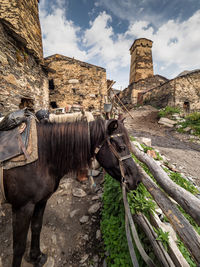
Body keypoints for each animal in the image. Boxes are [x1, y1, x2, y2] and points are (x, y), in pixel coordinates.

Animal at [3, 120, 141, 267]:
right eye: (121, 147)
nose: (137, 179)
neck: (41, 158)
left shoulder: (41, 201)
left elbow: (36, 227)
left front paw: (37, 256)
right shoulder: (22, 207)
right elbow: (19, 247)